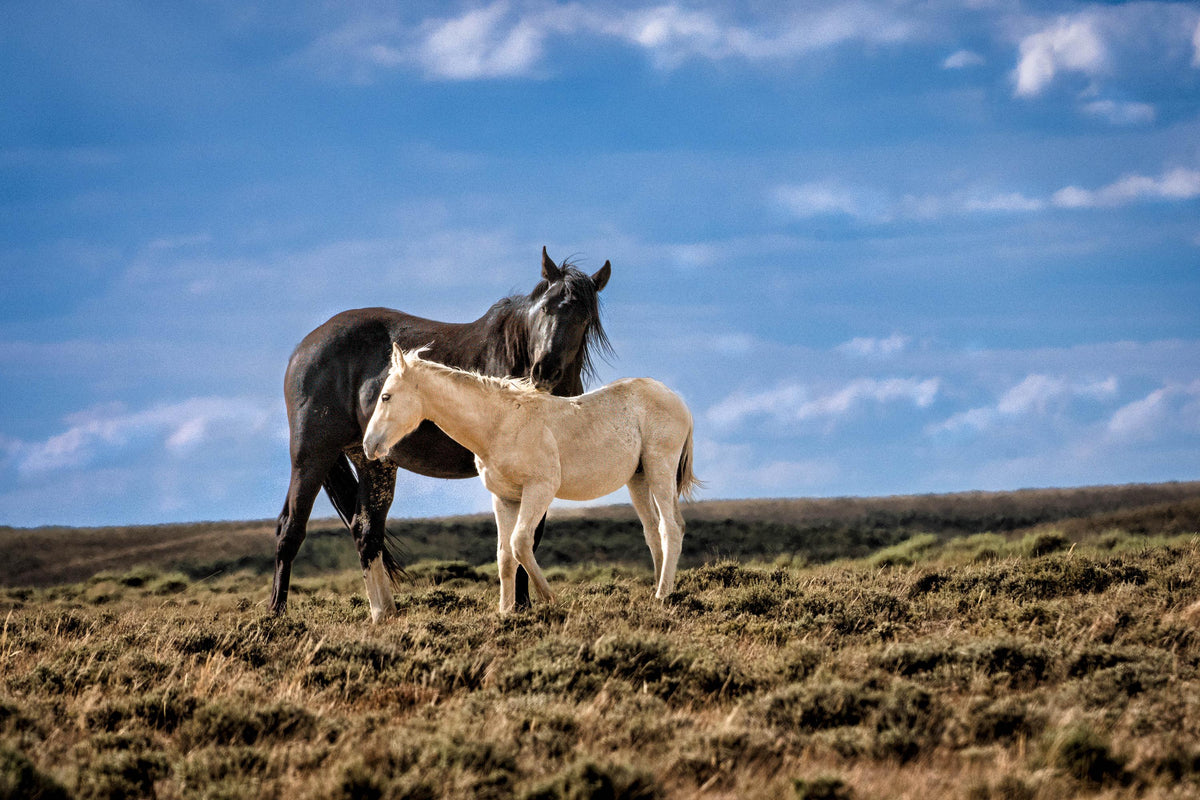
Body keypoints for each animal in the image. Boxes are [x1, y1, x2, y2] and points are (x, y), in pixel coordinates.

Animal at [272, 248, 612, 622]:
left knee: (366, 531)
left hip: (373, 460)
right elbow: (518, 540)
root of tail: (305, 347)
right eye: (545, 308)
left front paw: (521, 605)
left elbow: (527, 539)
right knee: (290, 529)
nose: (544, 370)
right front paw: (521, 606)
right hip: (312, 454)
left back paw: (385, 613)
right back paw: (277, 614)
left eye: (583, 318)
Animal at [363, 345, 699, 612]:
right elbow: (504, 556)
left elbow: (520, 542)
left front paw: (550, 599)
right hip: (638, 479)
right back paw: (659, 591)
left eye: (386, 396)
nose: (369, 445)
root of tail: (677, 399)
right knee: (653, 532)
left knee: (671, 528)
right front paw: (505, 611)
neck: (500, 424)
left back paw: (662, 597)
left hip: (659, 468)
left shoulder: (540, 489)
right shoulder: (505, 498)